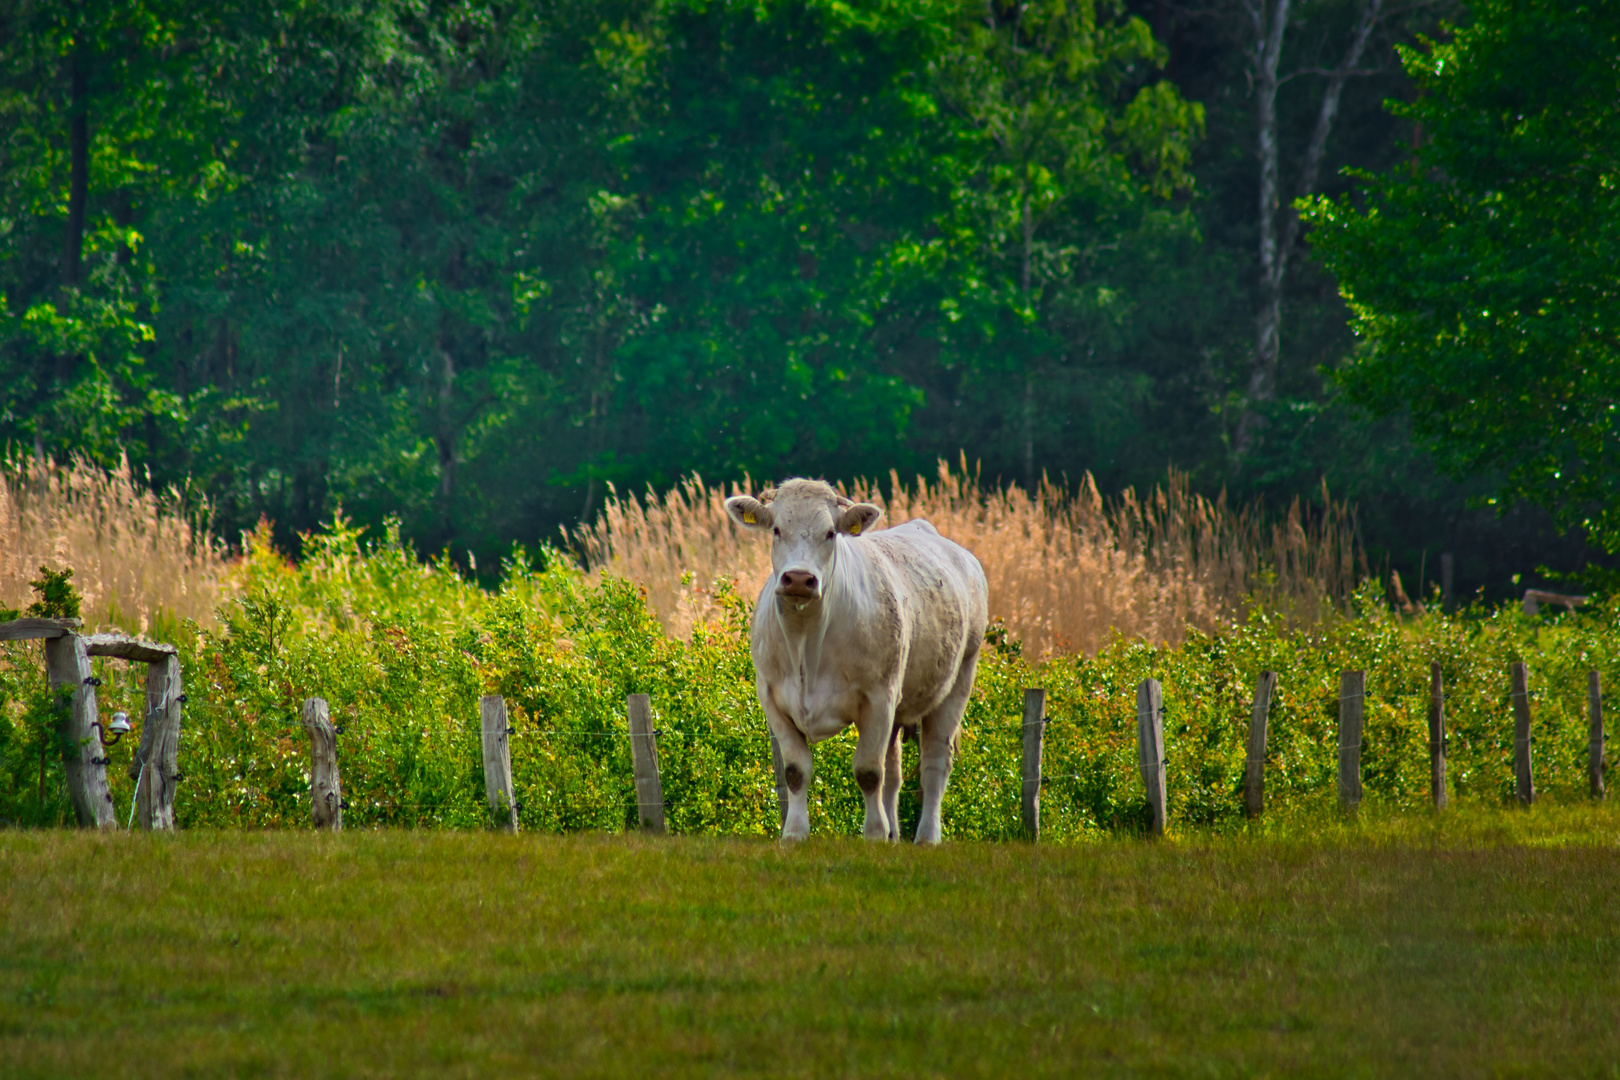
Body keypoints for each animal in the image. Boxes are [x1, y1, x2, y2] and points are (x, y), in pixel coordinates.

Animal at [732, 479, 984, 841]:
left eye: (830, 533)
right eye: (777, 529)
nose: (799, 579)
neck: (806, 643)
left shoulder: (879, 697)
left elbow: (868, 772)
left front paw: (874, 834)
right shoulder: (772, 698)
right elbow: (795, 770)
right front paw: (794, 833)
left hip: (958, 681)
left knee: (935, 763)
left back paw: (926, 836)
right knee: (894, 770)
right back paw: (895, 834)